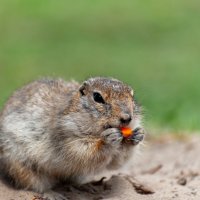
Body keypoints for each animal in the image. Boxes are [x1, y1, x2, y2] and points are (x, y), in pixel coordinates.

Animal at [0, 77, 144, 200]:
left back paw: (87, 187)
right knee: (36, 185)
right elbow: (81, 152)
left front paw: (138, 135)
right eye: (97, 97)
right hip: (21, 166)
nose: (127, 118)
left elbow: (116, 162)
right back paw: (53, 194)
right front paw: (107, 139)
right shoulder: (65, 135)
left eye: (132, 95)